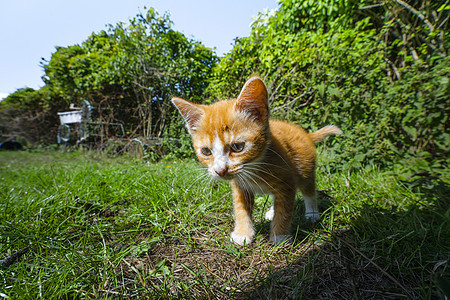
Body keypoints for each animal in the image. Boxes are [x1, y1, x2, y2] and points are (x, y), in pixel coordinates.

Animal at [172, 76, 342, 245]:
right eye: (206, 151)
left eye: (238, 147)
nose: (220, 170)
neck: (254, 168)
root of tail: (305, 134)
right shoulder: (240, 186)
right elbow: (241, 208)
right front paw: (243, 233)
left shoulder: (287, 179)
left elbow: (285, 208)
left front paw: (280, 235)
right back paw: (272, 211)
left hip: (305, 168)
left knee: (308, 190)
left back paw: (312, 213)